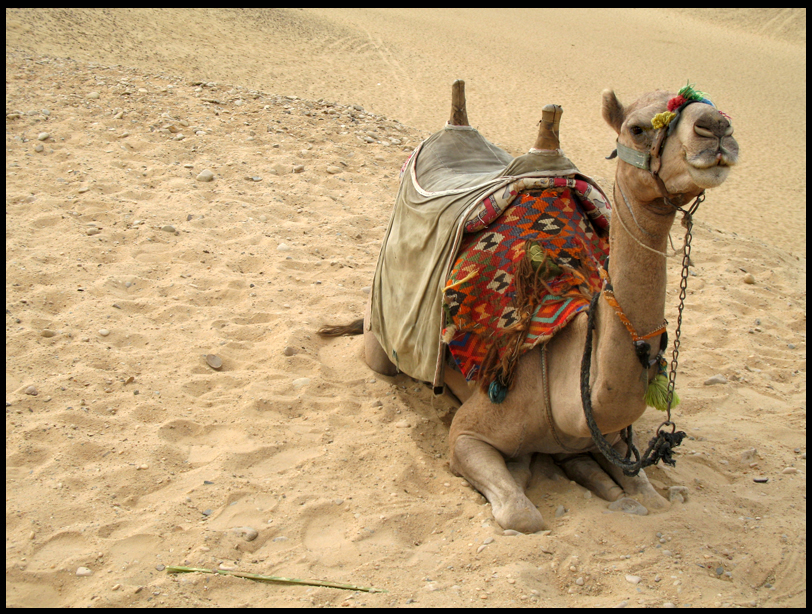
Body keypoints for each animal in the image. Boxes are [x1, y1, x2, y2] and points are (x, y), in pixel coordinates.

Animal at [320, 82, 740, 536]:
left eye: (719, 110)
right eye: (638, 128)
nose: (716, 128)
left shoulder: (614, 440)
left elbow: (651, 498)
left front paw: (605, 483)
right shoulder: (467, 432)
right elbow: (522, 514)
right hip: (380, 339)